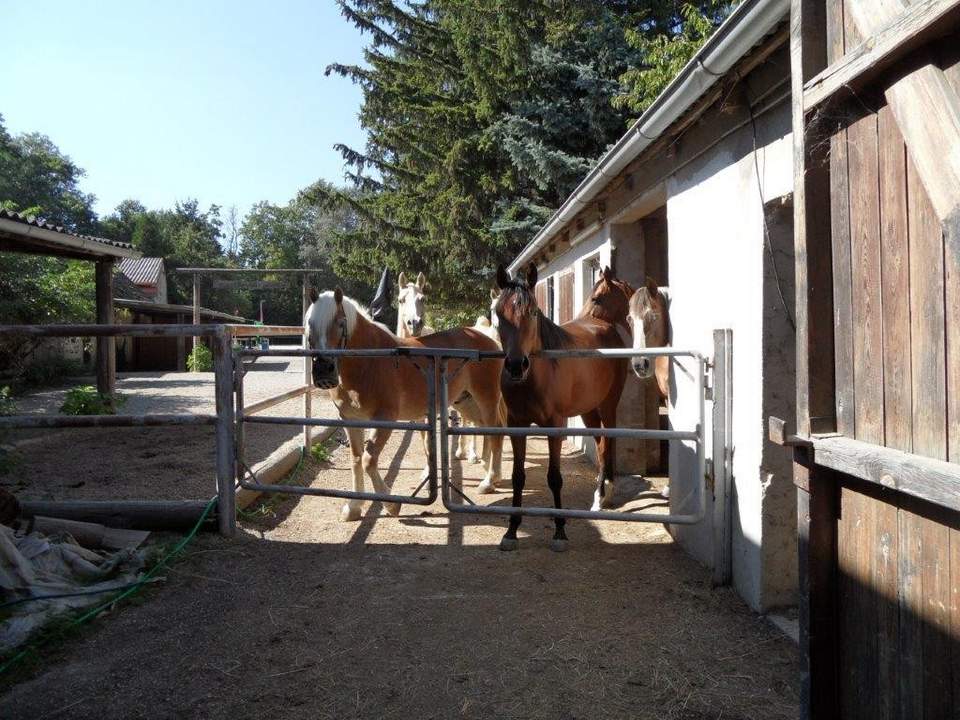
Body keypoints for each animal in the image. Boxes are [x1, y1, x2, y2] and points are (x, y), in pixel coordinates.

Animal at [308, 286, 506, 516]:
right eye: (309, 324)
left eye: (341, 323)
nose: (323, 371)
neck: (369, 361)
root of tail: (489, 340)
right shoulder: (350, 420)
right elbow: (356, 460)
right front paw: (354, 507)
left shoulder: (385, 419)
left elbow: (368, 460)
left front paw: (391, 504)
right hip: (465, 402)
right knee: (486, 429)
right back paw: (489, 471)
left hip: (486, 398)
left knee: (496, 431)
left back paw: (488, 481)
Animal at [492, 264, 632, 552]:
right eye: (499, 314)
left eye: (533, 312)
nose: (516, 366)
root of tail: (604, 325)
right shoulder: (516, 425)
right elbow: (518, 476)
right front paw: (511, 530)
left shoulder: (554, 426)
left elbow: (554, 477)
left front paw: (559, 531)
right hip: (588, 411)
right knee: (600, 444)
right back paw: (599, 495)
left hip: (608, 405)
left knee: (607, 444)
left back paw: (605, 495)